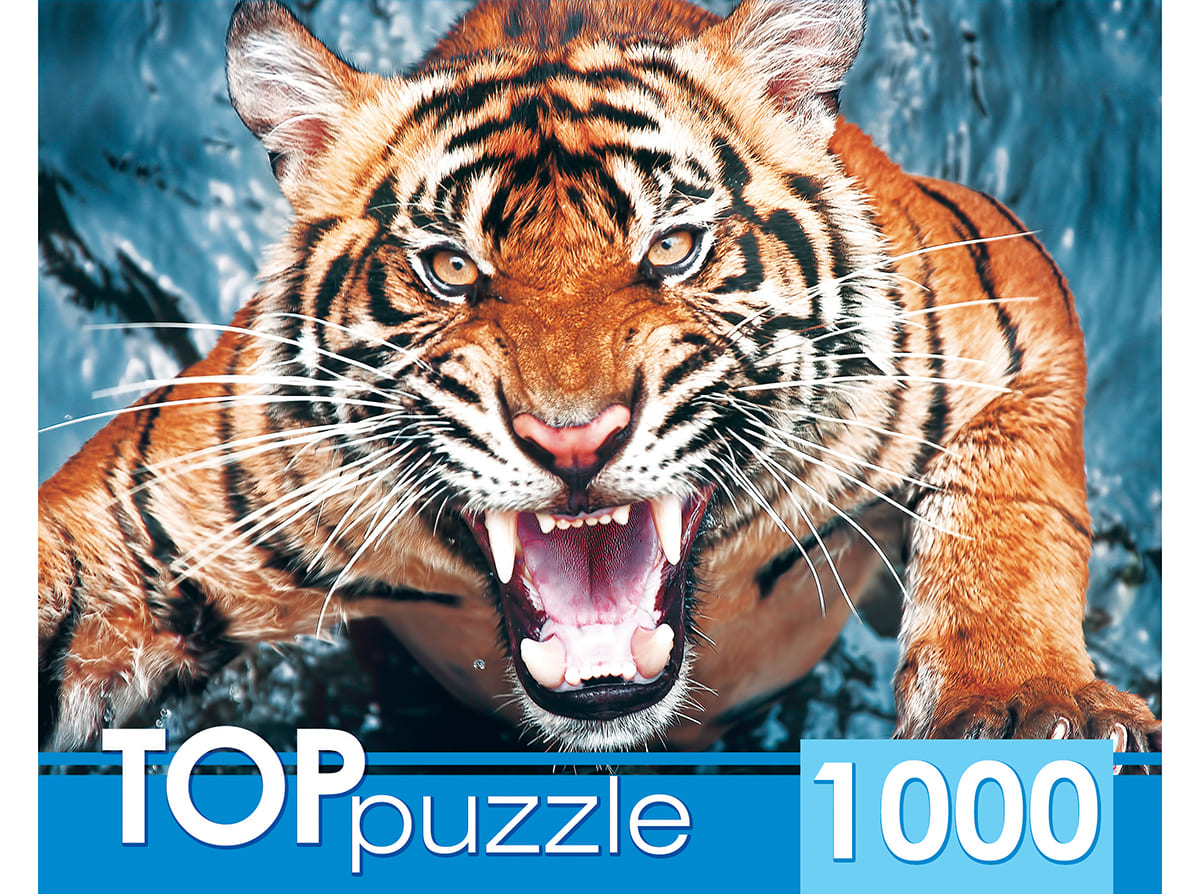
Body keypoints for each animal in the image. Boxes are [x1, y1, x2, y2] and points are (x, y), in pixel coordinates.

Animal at [38, 0, 1161, 755]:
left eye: (672, 247)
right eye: (451, 267)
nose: (572, 438)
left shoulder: (1005, 302)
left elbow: (1010, 508)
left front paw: (1024, 706)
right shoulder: (149, 515)